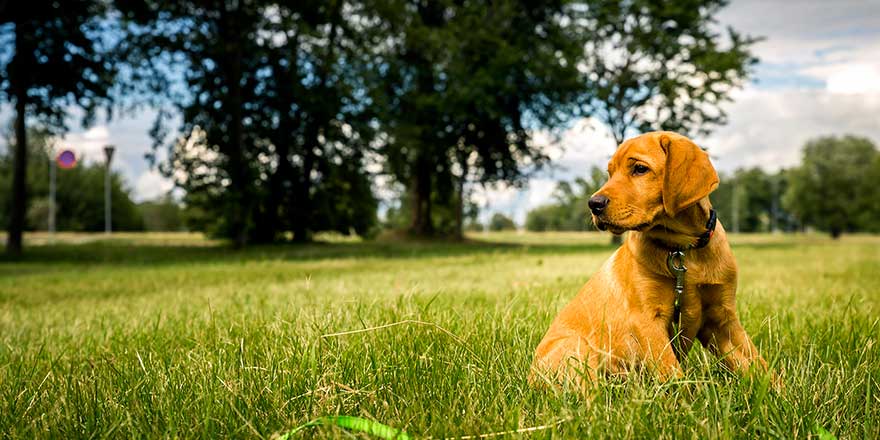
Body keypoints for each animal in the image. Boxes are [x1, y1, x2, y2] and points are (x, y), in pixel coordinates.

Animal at [532, 132, 768, 386]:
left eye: (639, 169)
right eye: (610, 173)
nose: (593, 204)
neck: (682, 249)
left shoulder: (722, 320)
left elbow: (760, 364)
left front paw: (778, 391)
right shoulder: (647, 320)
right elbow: (673, 374)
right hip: (576, 349)